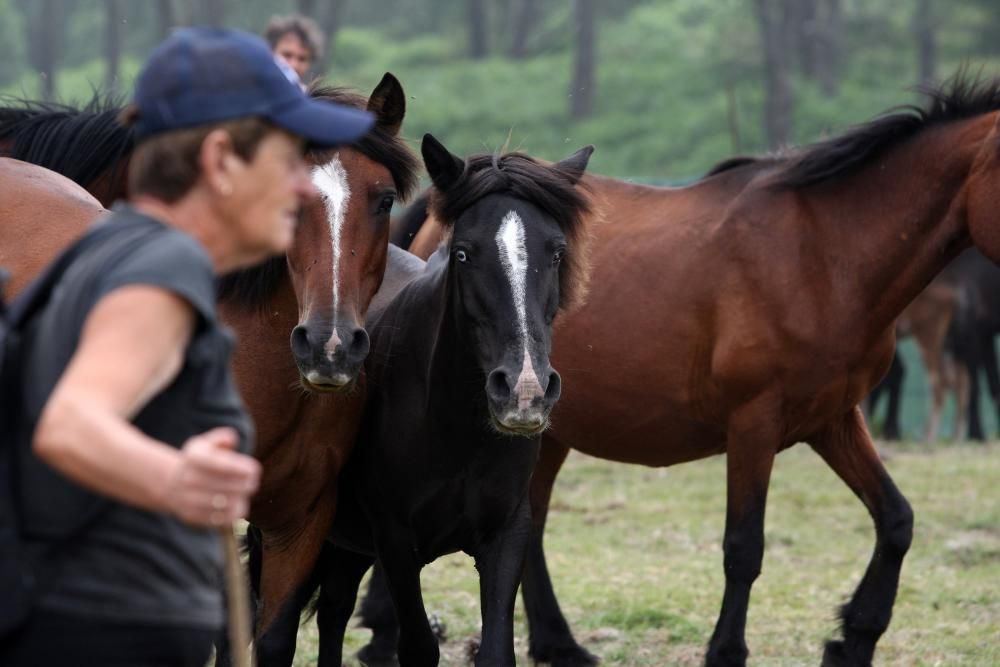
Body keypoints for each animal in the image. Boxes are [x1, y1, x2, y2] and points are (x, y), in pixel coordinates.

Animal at [374, 75, 1000, 664]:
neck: (820, 256)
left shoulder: (833, 419)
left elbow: (896, 520)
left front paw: (855, 639)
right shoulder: (755, 424)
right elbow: (744, 548)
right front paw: (726, 651)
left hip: (546, 431)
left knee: (533, 527)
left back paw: (557, 643)